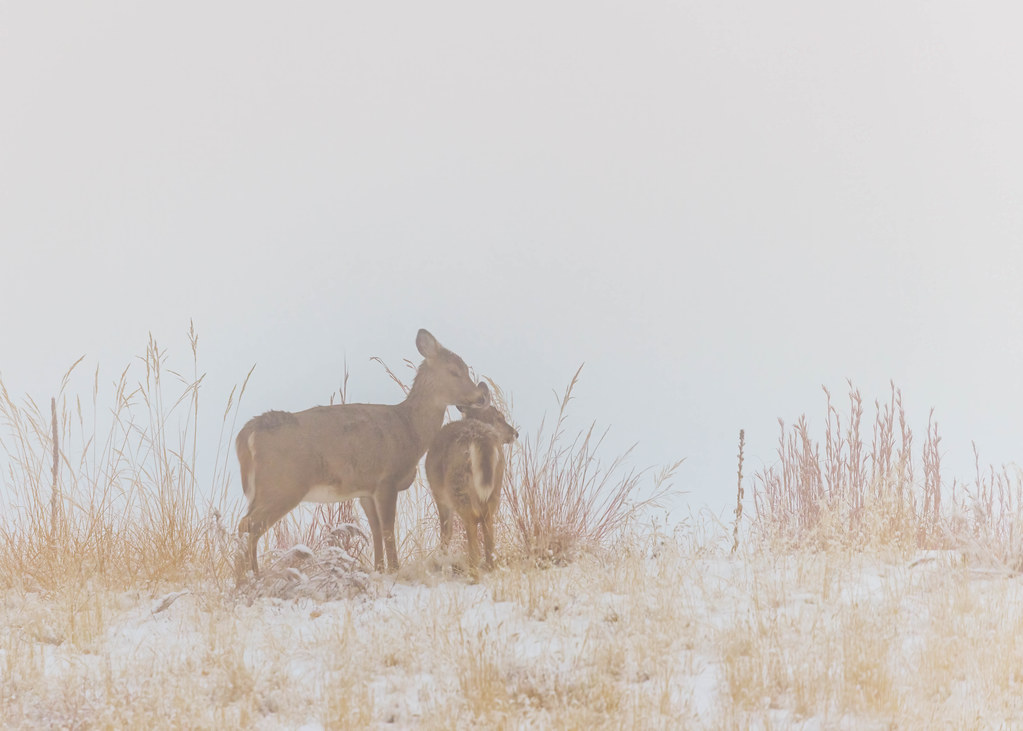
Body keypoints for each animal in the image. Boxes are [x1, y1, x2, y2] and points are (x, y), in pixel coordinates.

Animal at [234, 329, 488, 580]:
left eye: (466, 368)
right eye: (454, 371)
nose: (481, 397)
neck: (410, 430)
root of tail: (247, 433)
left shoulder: (366, 490)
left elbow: (375, 530)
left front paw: (379, 569)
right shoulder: (387, 479)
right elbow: (387, 528)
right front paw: (394, 570)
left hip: (263, 491)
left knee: (246, 525)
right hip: (283, 485)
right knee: (249, 526)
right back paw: (251, 577)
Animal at [425, 382, 518, 574]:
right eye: (500, 417)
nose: (515, 433)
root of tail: (481, 438)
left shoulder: (439, 496)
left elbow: (446, 532)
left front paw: (441, 561)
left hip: (457, 487)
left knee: (471, 524)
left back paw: (472, 569)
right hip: (496, 486)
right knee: (488, 529)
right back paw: (488, 567)